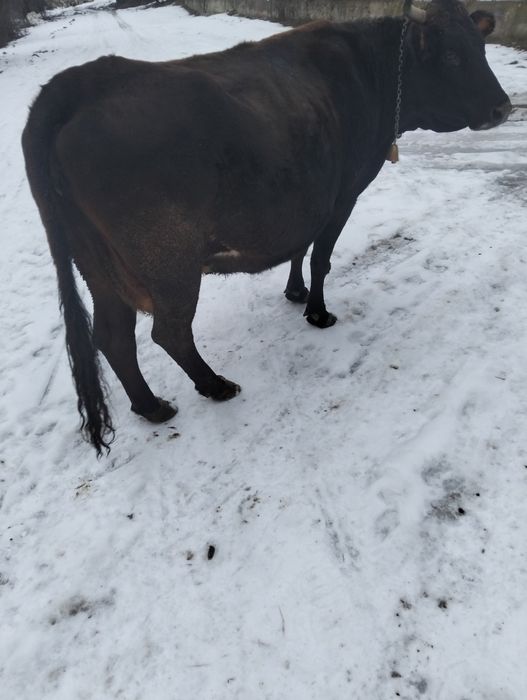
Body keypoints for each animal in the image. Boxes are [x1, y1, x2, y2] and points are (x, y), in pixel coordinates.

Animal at [22, 0, 510, 454]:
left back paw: (152, 406)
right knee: (168, 332)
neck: (372, 72)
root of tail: (78, 83)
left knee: (113, 337)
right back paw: (215, 386)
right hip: (168, 262)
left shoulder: (307, 196)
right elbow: (321, 257)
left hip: (97, 265)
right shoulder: (343, 194)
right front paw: (317, 312)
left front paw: (294, 293)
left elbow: (299, 247)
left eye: (481, 46)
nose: (502, 107)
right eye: (452, 56)